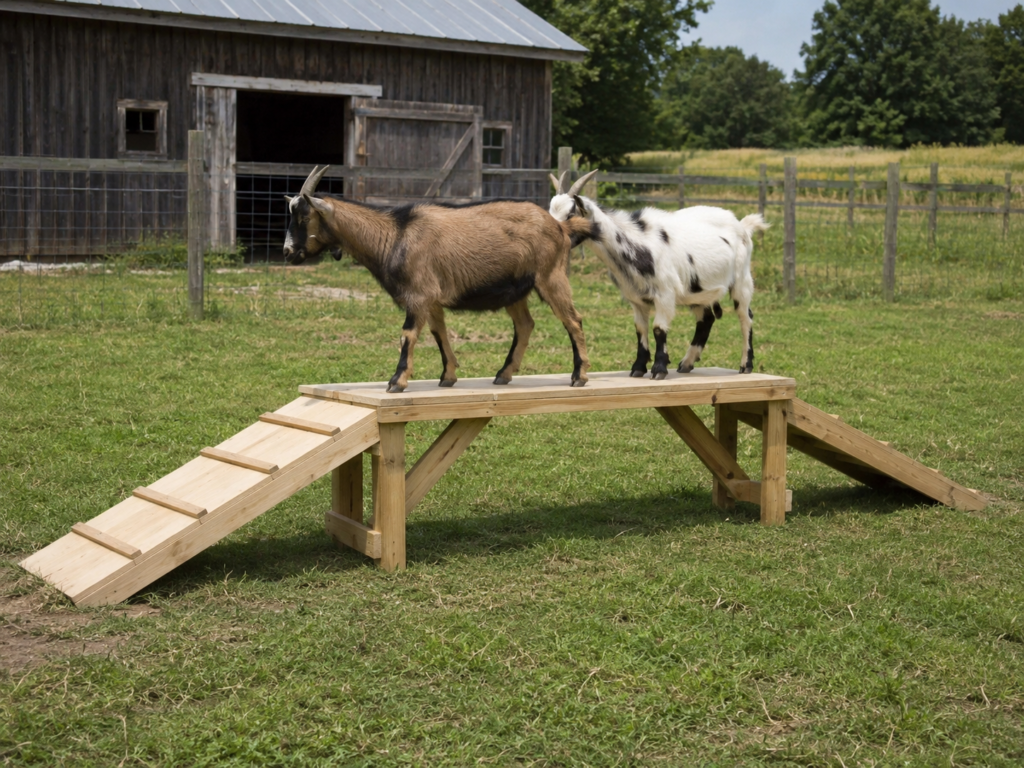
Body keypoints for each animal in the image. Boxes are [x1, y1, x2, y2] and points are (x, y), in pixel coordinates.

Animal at [284, 165, 593, 393]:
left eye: (304, 218)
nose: (288, 252)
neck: (394, 235)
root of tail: (560, 226)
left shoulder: (419, 295)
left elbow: (408, 334)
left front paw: (396, 381)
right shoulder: (431, 299)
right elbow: (439, 334)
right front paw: (448, 376)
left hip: (551, 276)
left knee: (573, 320)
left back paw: (578, 376)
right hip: (515, 290)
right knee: (525, 325)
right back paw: (504, 374)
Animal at [548, 170, 768, 378]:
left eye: (570, 214)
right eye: (550, 211)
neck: (636, 244)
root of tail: (742, 225)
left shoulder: (665, 294)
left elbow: (658, 328)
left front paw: (659, 369)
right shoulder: (636, 299)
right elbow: (641, 329)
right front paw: (638, 368)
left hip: (742, 280)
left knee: (746, 317)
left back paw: (746, 365)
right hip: (699, 291)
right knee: (706, 319)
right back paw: (687, 363)